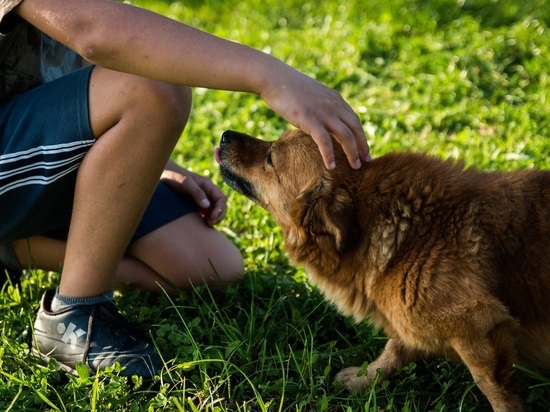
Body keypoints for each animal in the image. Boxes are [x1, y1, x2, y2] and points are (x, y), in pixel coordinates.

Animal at [216, 130, 550, 412]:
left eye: (271, 157)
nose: (225, 135)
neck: (410, 233)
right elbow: (395, 349)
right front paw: (366, 378)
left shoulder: (476, 326)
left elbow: (494, 390)